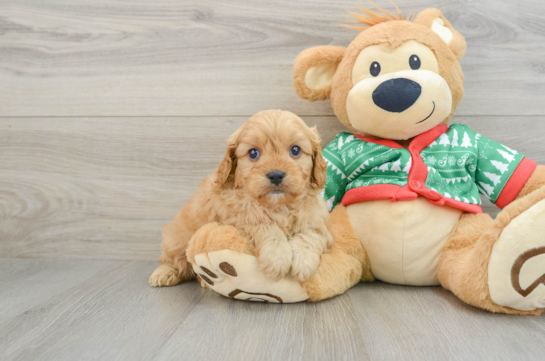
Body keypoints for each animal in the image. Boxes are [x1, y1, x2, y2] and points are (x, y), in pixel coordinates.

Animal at [151, 108, 334, 286]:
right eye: (253, 153)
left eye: (295, 150)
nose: (276, 175)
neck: (278, 205)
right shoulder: (236, 216)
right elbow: (263, 224)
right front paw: (277, 258)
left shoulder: (319, 221)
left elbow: (313, 234)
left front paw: (303, 262)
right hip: (178, 238)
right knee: (175, 260)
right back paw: (165, 273)